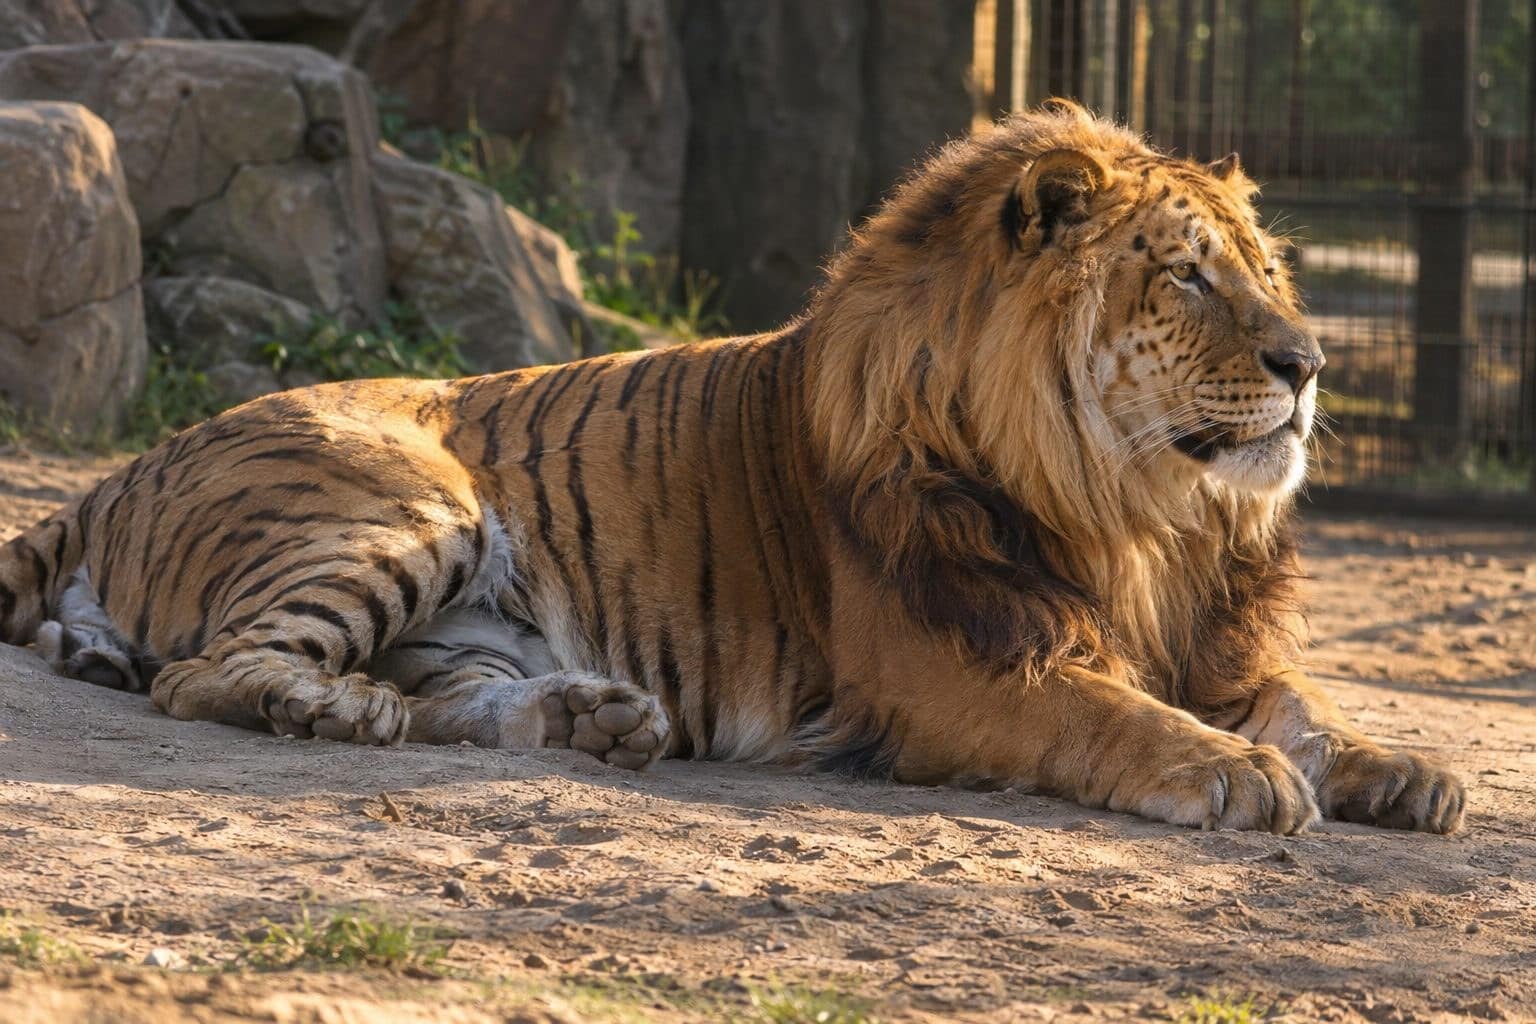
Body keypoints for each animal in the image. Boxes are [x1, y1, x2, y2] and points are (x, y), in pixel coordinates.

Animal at [0, 99, 1464, 833]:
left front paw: (1402, 771)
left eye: (1265, 271)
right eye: (1186, 278)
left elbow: (1301, 701)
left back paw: (593, 720)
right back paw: (335, 712)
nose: (1309, 363)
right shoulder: (957, 669)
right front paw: (1245, 774)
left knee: (449, 693)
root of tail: (125, 468)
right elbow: (1122, 720)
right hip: (411, 501)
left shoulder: (1205, 634)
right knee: (208, 671)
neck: (1144, 514)